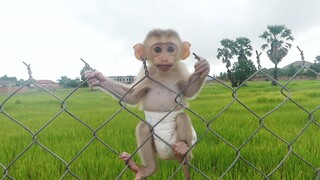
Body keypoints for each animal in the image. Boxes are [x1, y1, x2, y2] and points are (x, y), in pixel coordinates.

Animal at [85, 28, 210, 179]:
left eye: (170, 49)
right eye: (157, 49)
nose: (164, 58)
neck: (163, 74)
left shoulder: (178, 73)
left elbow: (189, 92)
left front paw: (203, 67)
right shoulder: (147, 77)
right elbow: (131, 97)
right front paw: (98, 79)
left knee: (182, 117)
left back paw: (183, 151)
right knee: (143, 127)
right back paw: (147, 169)